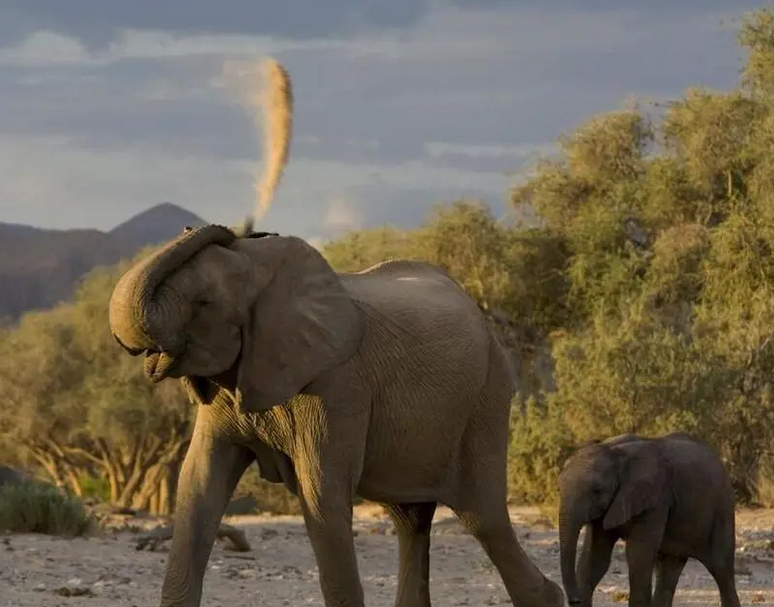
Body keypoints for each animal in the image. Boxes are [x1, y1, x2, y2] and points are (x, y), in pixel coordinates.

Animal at [107, 226, 564, 607]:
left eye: (204, 304)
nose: (225, 229)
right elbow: (198, 485)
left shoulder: (339, 386)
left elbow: (322, 495)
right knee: (412, 520)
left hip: (486, 399)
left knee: (482, 516)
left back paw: (548, 594)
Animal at [556, 432, 740, 607]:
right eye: (558, 489)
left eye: (597, 491)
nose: (575, 599)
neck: (614, 453)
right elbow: (594, 559)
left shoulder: (656, 501)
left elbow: (638, 557)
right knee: (668, 570)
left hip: (722, 509)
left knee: (721, 568)